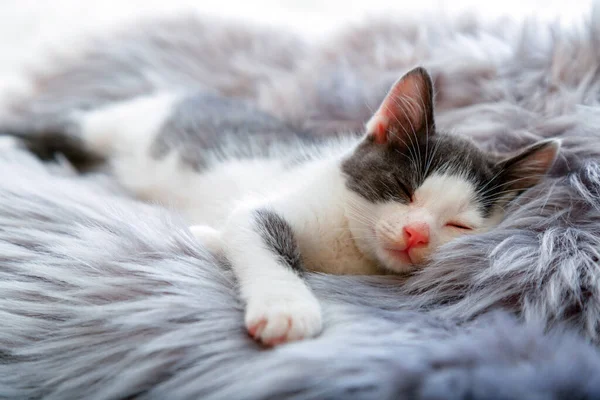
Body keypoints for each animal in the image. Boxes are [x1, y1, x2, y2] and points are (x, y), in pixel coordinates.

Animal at [4, 67, 560, 346]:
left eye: (459, 225)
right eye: (403, 188)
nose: (415, 234)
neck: (349, 249)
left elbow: (228, 228)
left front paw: (208, 237)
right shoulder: (266, 205)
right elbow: (257, 233)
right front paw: (286, 307)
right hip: (108, 124)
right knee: (54, 129)